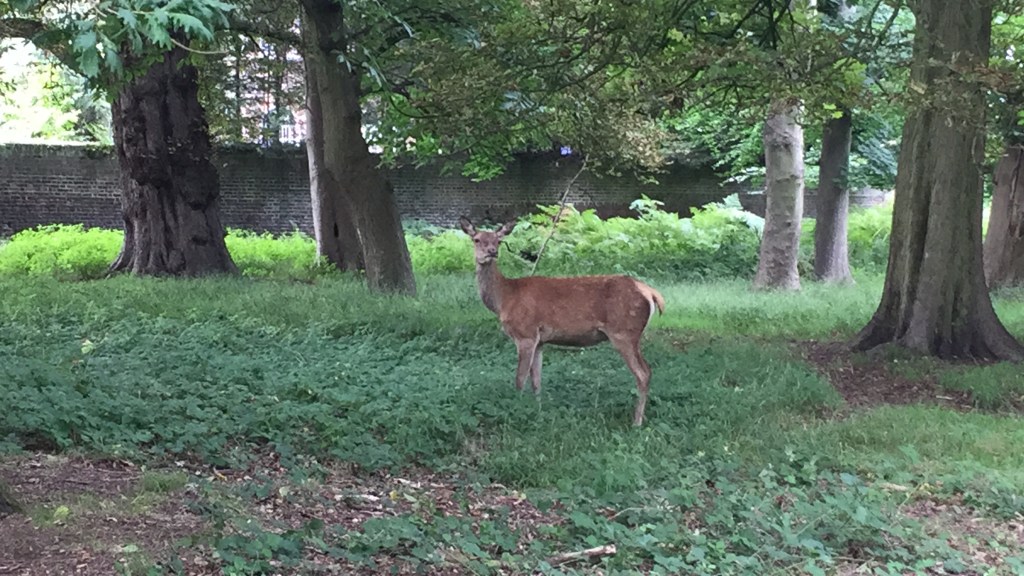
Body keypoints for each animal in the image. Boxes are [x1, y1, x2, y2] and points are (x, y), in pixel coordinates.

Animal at [459, 216, 665, 426]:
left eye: (498, 240)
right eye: (476, 239)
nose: (492, 251)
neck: (505, 297)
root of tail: (650, 292)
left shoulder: (525, 333)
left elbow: (519, 379)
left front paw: (515, 412)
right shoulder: (539, 341)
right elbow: (536, 381)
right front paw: (538, 411)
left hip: (623, 331)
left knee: (643, 373)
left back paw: (636, 422)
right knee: (648, 371)